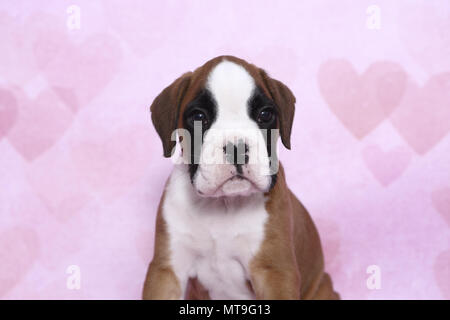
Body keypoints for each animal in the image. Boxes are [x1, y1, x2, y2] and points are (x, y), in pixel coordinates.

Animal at [142, 55, 340, 300]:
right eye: (198, 116)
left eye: (265, 114)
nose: (236, 147)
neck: (223, 205)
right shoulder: (166, 271)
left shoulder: (274, 273)